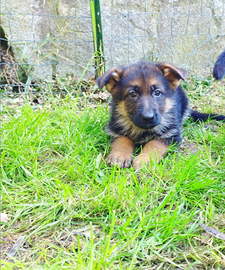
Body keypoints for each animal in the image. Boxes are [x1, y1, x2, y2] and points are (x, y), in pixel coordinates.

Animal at [97, 61, 225, 169]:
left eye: (157, 92)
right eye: (132, 94)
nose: (148, 118)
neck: (142, 130)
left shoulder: (170, 135)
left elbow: (153, 144)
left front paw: (144, 159)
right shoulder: (115, 130)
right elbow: (122, 140)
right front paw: (120, 155)